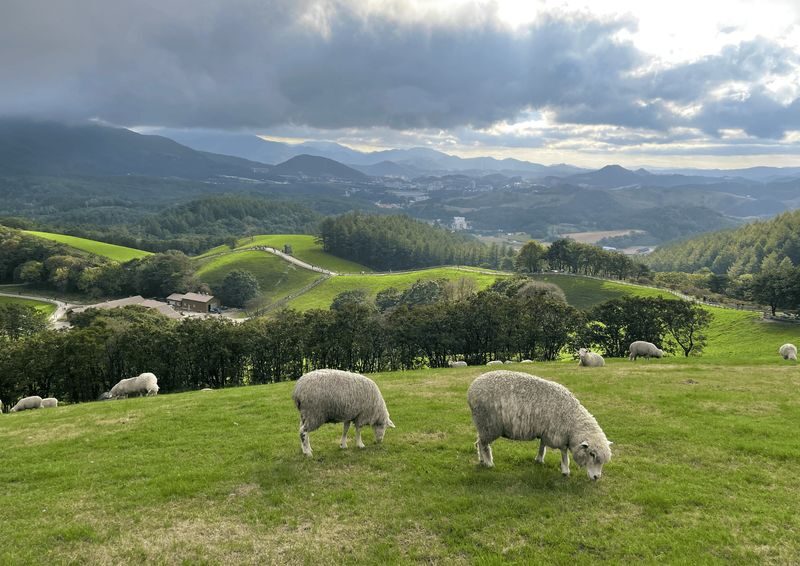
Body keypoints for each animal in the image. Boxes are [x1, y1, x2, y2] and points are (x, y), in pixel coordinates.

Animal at [467, 371, 612, 480]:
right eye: (592, 454)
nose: (596, 477)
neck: (572, 419)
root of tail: (471, 389)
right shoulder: (558, 434)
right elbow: (563, 452)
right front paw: (565, 470)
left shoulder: (546, 431)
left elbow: (542, 445)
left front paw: (539, 459)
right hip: (488, 424)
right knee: (484, 445)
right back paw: (489, 463)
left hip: (481, 424)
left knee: (478, 442)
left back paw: (481, 460)